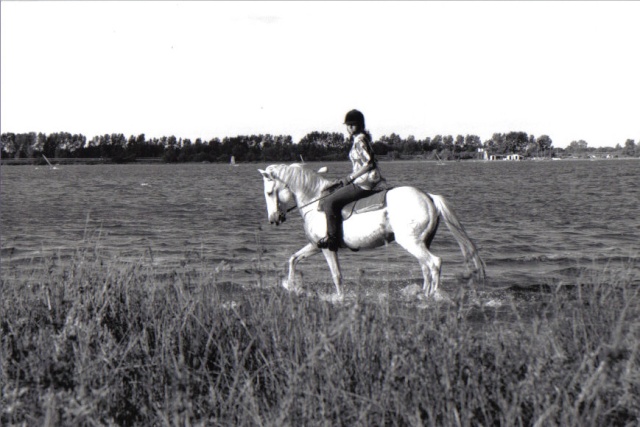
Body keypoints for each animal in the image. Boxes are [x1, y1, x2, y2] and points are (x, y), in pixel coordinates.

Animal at [256, 166, 484, 300]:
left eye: (269, 192)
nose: (273, 219)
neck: (315, 202)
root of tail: (428, 197)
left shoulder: (327, 248)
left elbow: (336, 275)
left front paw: (340, 298)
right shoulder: (315, 245)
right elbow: (293, 259)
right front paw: (291, 287)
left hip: (411, 242)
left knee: (434, 263)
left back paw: (433, 297)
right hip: (421, 243)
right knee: (426, 268)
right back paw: (423, 294)